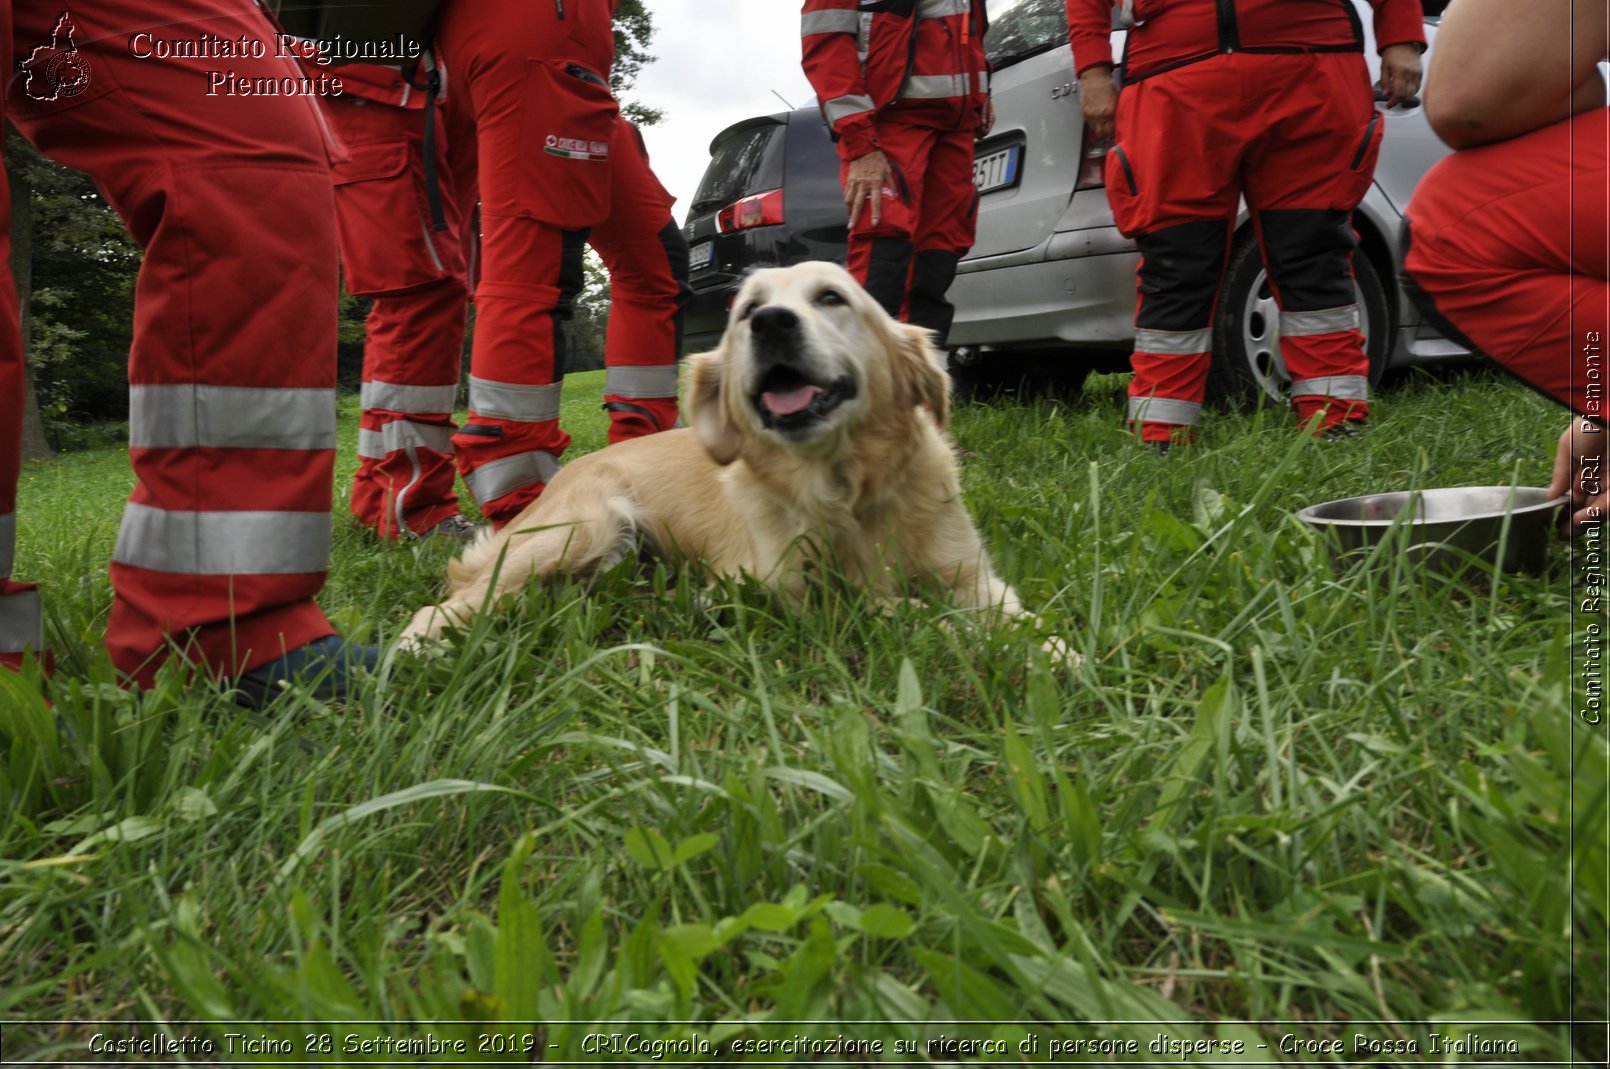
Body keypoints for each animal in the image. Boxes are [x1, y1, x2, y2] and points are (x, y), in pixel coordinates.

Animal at [396, 262, 1062, 656]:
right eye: (746, 311)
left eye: (831, 298)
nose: (771, 323)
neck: (844, 488)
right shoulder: (799, 595)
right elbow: (917, 613)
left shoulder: (973, 576)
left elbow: (1017, 619)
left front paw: (1058, 654)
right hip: (585, 527)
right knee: (449, 601)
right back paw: (415, 650)